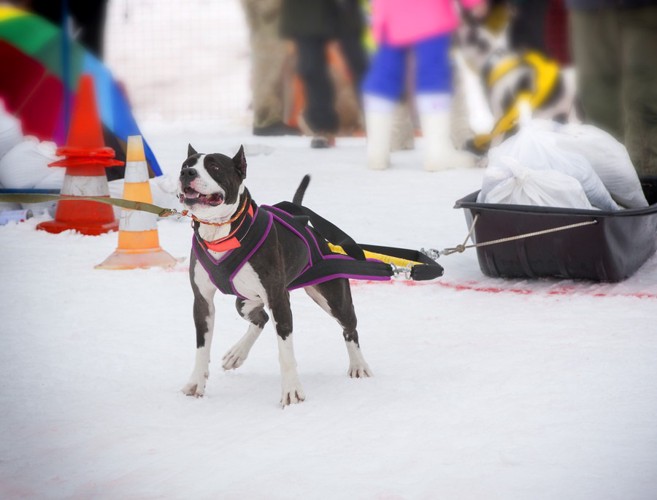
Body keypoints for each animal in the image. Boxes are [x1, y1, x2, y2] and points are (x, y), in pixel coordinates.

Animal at [177, 145, 372, 406]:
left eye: (214, 166)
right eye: (186, 165)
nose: (187, 173)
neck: (220, 233)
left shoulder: (279, 300)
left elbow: (285, 351)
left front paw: (292, 391)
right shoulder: (202, 301)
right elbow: (202, 346)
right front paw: (196, 383)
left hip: (334, 299)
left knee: (350, 328)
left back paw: (358, 364)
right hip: (245, 302)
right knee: (260, 318)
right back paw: (237, 353)